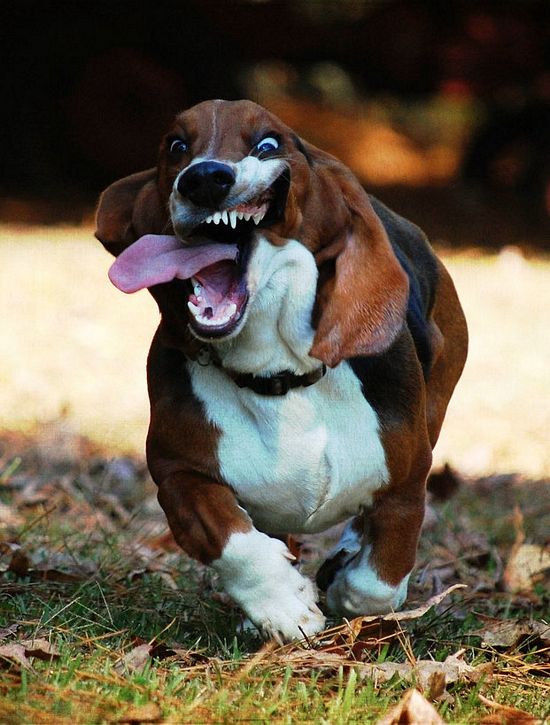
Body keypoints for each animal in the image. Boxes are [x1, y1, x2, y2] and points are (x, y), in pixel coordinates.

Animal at [96, 97, 470, 640]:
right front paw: (282, 604)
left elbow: (380, 576)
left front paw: (345, 584)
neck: (278, 377)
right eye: (177, 146)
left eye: (268, 144)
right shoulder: (178, 473)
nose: (204, 177)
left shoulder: (407, 479)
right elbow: (232, 539)